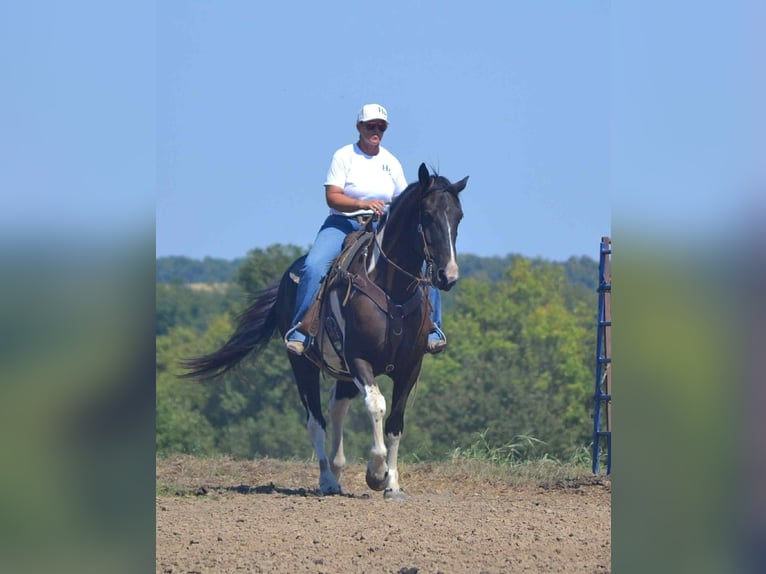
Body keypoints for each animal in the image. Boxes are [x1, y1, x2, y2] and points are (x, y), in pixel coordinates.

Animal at [181, 163, 468, 499]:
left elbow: (395, 421)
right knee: (315, 420)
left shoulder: (410, 365)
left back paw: (338, 468)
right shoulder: (359, 359)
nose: (448, 276)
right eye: (428, 215)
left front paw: (393, 484)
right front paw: (376, 473)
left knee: (337, 408)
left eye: (458, 216)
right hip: (302, 364)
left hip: (342, 372)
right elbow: (376, 405)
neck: (391, 290)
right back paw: (327, 479)